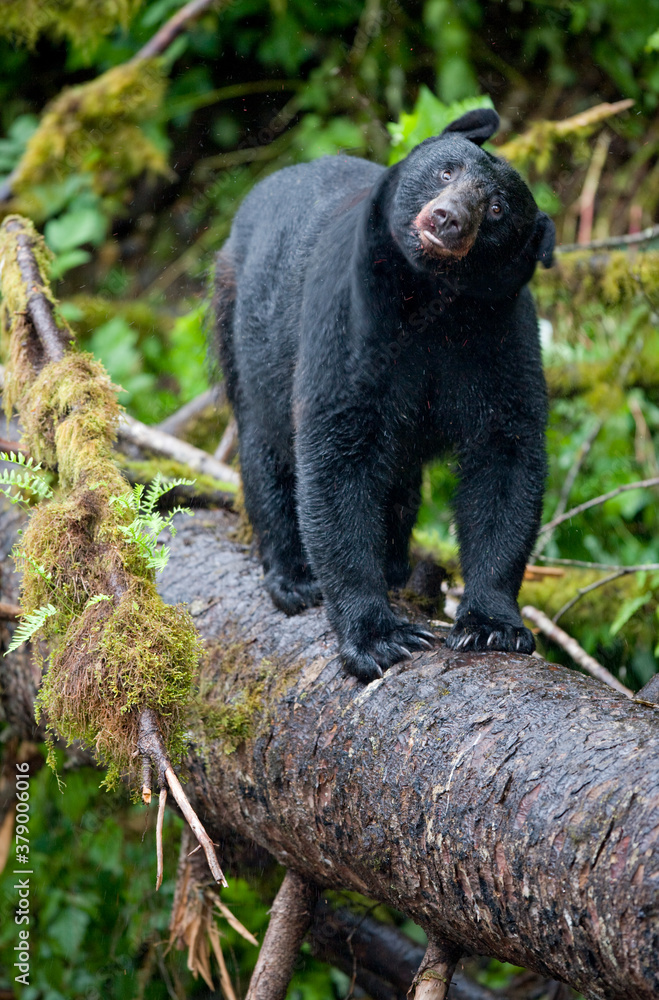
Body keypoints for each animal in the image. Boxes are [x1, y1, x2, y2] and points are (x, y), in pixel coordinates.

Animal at [212, 107, 554, 682]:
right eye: (446, 170)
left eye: (498, 208)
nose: (447, 218)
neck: (434, 305)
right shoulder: (350, 321)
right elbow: (335, 457)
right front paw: (377, 636)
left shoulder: (499, 337)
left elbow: (506, 455)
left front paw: (492, 624)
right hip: (240, 326)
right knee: (267, 448)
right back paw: (292, 575)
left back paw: (395, 564)